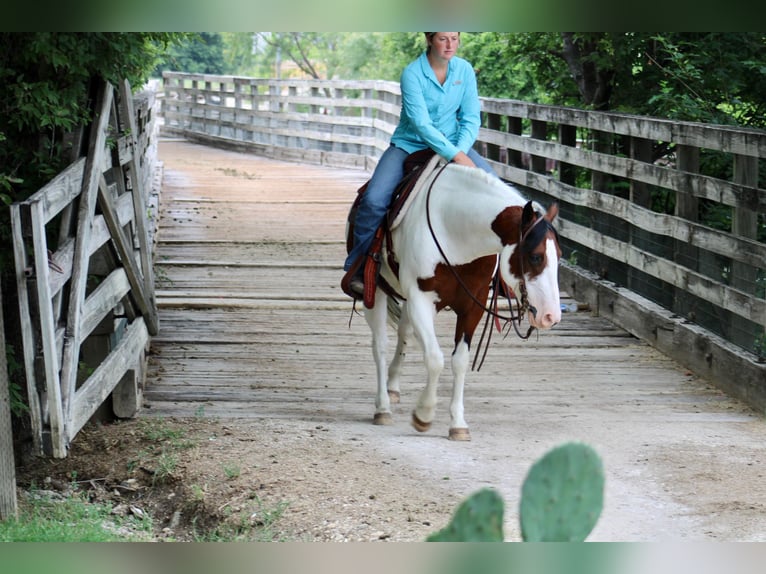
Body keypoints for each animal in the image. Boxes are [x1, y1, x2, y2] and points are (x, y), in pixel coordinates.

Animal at [350, 160, 564, 444]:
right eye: (536, 256)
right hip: (377, 293)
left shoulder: (473, 305)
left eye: (559, 255)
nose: (551, 316)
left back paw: (393, 387)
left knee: (404, 332)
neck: (456, 232)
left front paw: (458, 424)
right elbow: (435, 358)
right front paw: (424, 415)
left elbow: (459, 361)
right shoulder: (420, 299)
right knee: (380, 345)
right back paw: (382, 407)